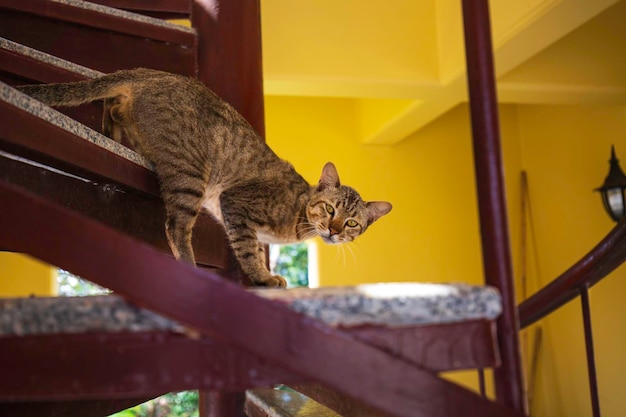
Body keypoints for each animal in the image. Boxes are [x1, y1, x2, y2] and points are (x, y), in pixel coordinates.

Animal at [17, 68, 390, 288]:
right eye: (329, 209)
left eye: (352, 223)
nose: (334, 230)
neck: (298, 214)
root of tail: (148, 72)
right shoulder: (236, 204)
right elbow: (248, 251)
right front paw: (263, 277)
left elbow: (255, 247)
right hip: (190, 175)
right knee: (176, 228)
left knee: (113, 106)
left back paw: (115, 133)